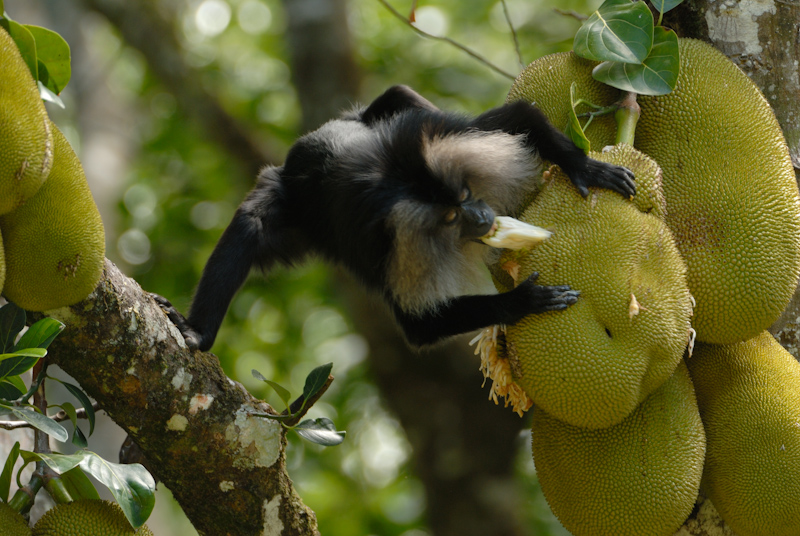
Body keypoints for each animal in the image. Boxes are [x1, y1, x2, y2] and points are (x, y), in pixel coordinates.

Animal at [153, 86, 636, 350]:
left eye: (465, 195)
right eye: (450, 215)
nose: (483, 216)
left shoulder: (439, 135)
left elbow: (519, 115)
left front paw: (584, 167)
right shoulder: (384, 246)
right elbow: (418, 326)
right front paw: (522, 302)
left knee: (400, 97)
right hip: (287, 197)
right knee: (252, 221)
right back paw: (198, 334)